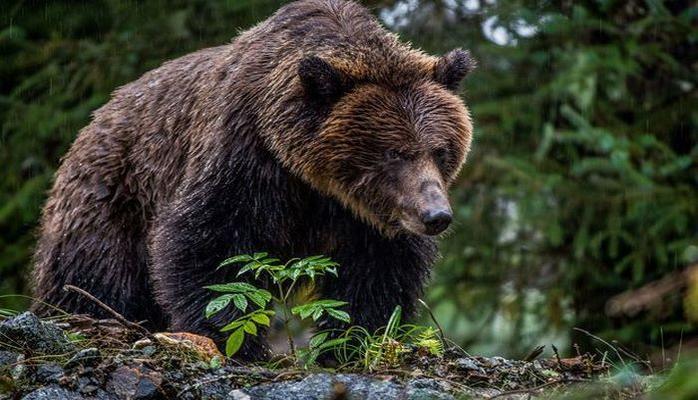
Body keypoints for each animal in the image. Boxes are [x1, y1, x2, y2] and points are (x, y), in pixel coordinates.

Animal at [31, 0, 474, 360]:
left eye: (440, 150)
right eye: (393, 152)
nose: (435, 215)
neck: (313, 177)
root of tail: (95, 117)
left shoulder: (365, 215)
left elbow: (379, 269)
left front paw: (348, 341)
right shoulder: (246, 154)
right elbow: (210, 239)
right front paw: (235, 339)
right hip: (111, 195)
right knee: (94, 273)